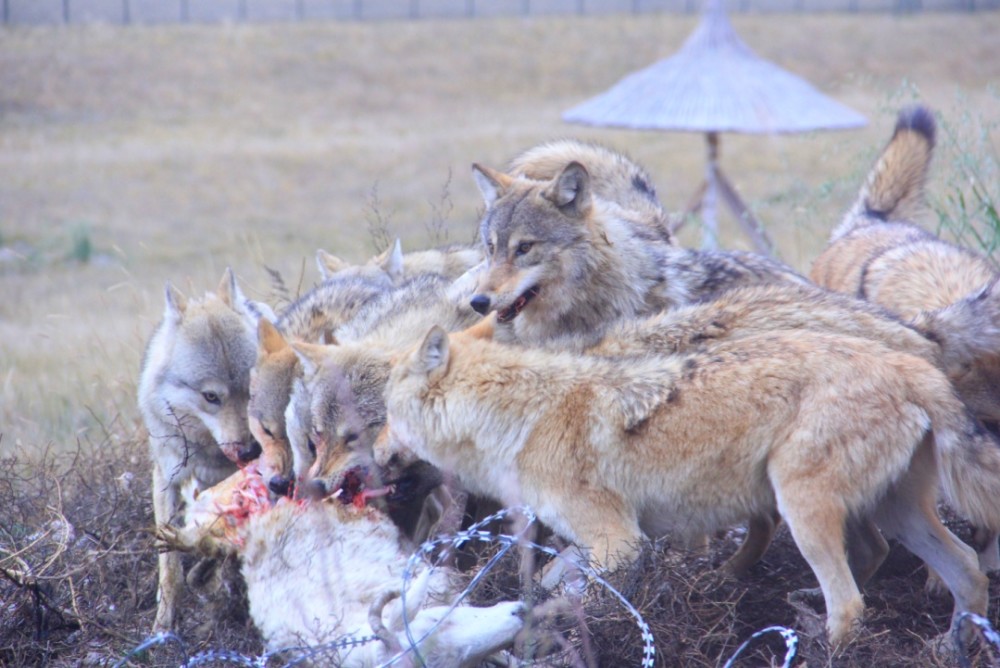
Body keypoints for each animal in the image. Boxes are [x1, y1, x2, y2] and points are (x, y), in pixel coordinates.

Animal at [139, 270, 270, 632]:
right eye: (211, 397)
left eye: (251, 389)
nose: (251, 450)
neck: (207, 452)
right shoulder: (166, 480)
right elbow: (170, 569)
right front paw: (163, 626)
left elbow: (216, 549)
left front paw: (206, 575)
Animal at [376, 324, 992, 648]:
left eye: (384, 410)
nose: (376, 454)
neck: (519, 418)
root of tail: (910, 366)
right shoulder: (610, 541)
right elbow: (555, 576)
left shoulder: (620, 542)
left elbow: (587, 601)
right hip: (897, 516)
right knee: (966, 568)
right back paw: (953, 647)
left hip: (803, 512)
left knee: (851, 604)